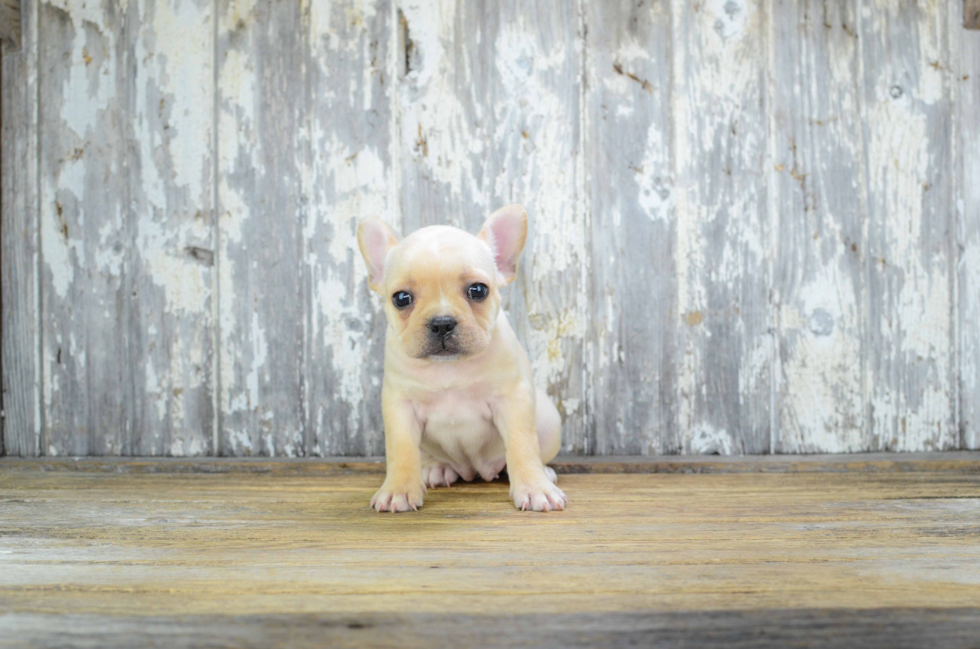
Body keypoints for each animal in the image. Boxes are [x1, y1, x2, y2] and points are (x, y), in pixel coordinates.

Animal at [358, 205, 568, 512]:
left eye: (478, 290)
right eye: (401, 298)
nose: (442, 322)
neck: (449, 368)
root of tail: (474, 471)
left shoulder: (513, 400)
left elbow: (522, 445)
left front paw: (534, 487)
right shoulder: (400, 406)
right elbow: (401, 449)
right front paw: (398, 489)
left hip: (549, 422)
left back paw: (546, 472)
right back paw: (436, 468)